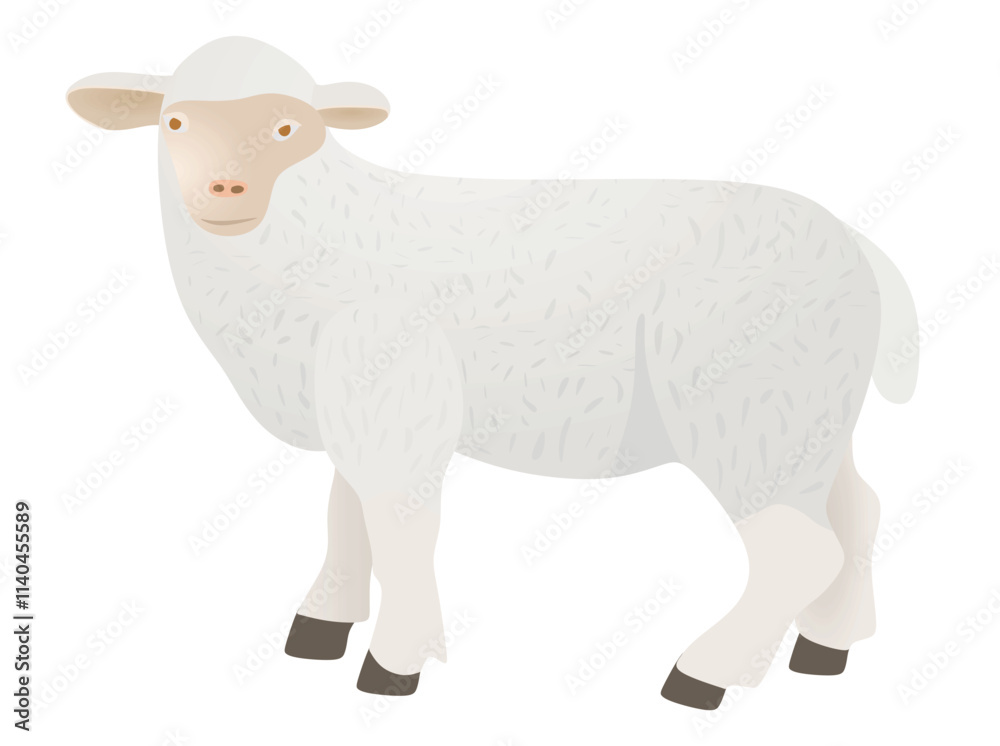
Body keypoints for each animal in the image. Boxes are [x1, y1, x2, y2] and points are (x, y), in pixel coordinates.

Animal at [67, 36, 917, 709]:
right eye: (174, 121)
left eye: (288, 126)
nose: (225, 188)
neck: (316, 240)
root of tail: (856, 244)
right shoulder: (353, 399)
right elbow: (346, 515)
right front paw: (322, 623)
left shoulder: (395, 398)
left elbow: (397, 525)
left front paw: (394, 665)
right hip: (807, 408)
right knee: (857, 512)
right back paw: (826, 650)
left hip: (741, 407)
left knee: (797, 547)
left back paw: (701, 676)